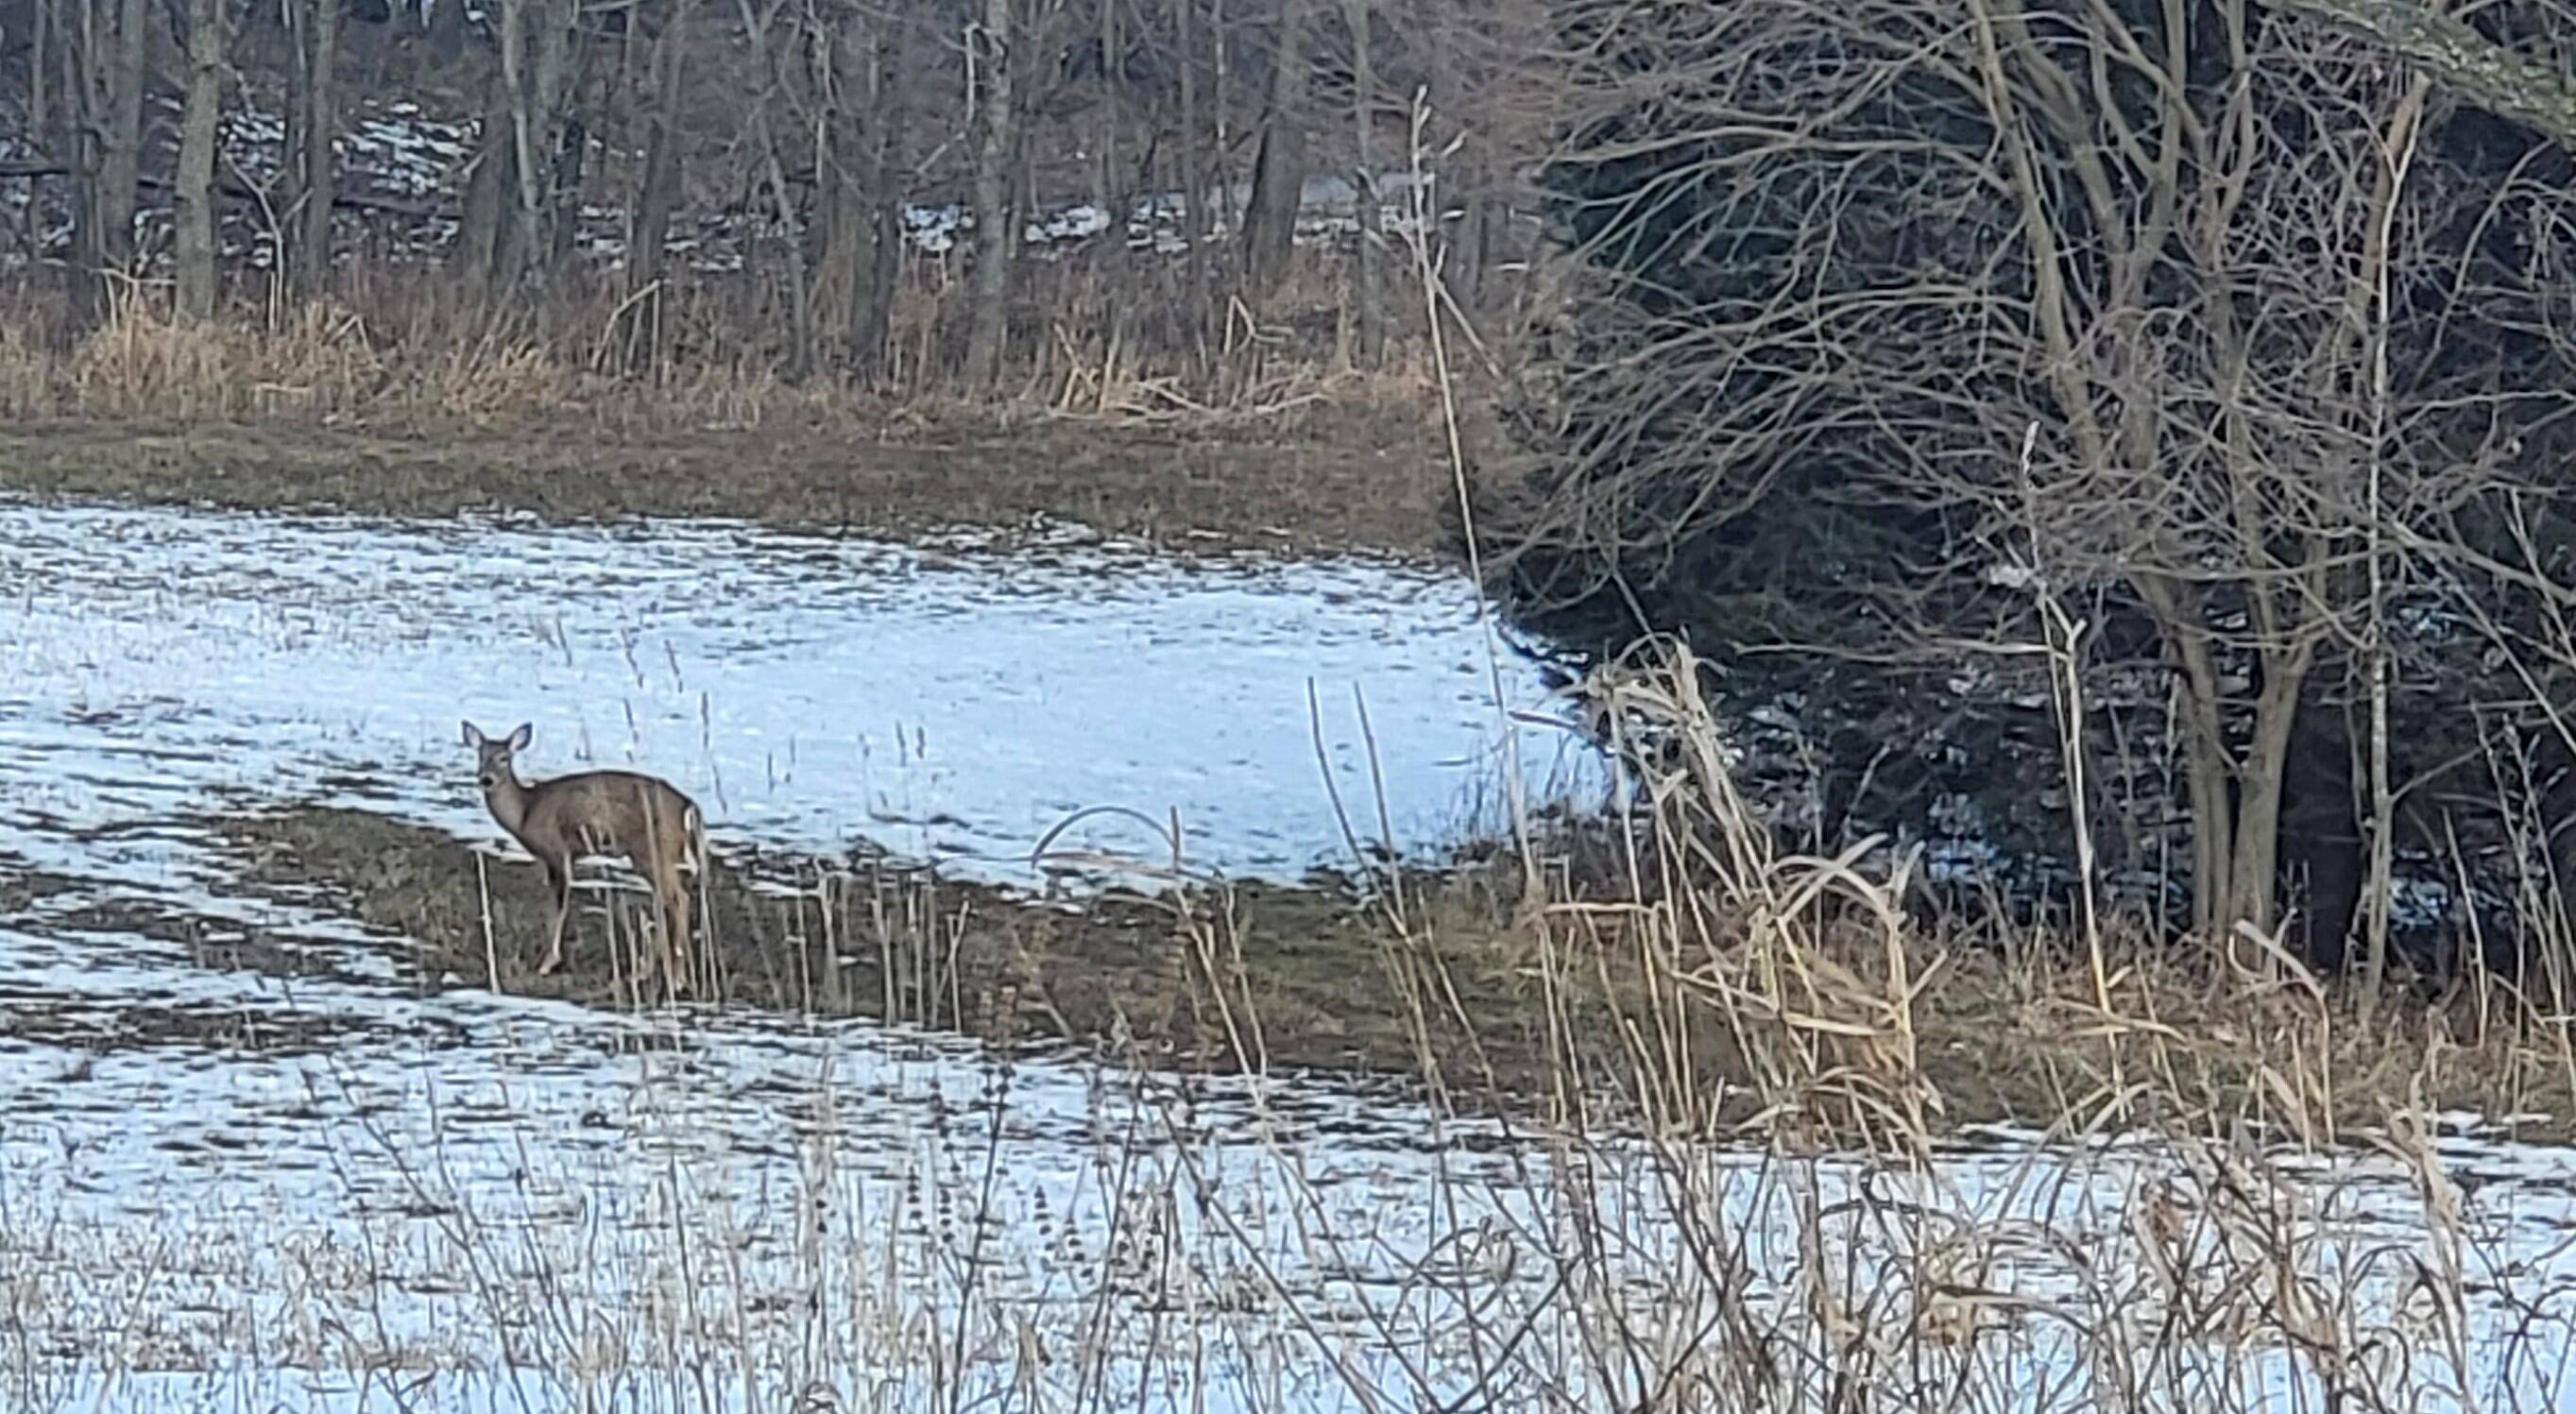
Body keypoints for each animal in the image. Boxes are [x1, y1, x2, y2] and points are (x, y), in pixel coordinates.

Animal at [463, 716, 706, 994]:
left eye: (504, 757)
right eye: (481, 755)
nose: (486, 779)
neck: (525, 812)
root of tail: (689, 807)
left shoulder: (557, 851)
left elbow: (557, 905)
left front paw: (547, 962)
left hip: (652, 849)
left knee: (677, 898)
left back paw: (671, 978)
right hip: (659, 854)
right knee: (671, 899)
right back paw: (658, 974)